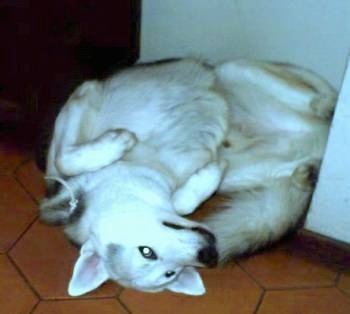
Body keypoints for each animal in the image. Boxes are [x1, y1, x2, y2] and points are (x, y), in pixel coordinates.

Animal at [39, 57, 336, 296]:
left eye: (146, 251)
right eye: (170, 273)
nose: (210, 255)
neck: (143, 168)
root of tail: (320, 138)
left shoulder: (84, 95)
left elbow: (64, 158)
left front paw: (118, 141)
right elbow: (184, 201)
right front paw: (209, 173)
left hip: (233, 71)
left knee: (316, 94)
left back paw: (327, 105)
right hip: (250, 169)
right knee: (298, 163)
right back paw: (308, 173)